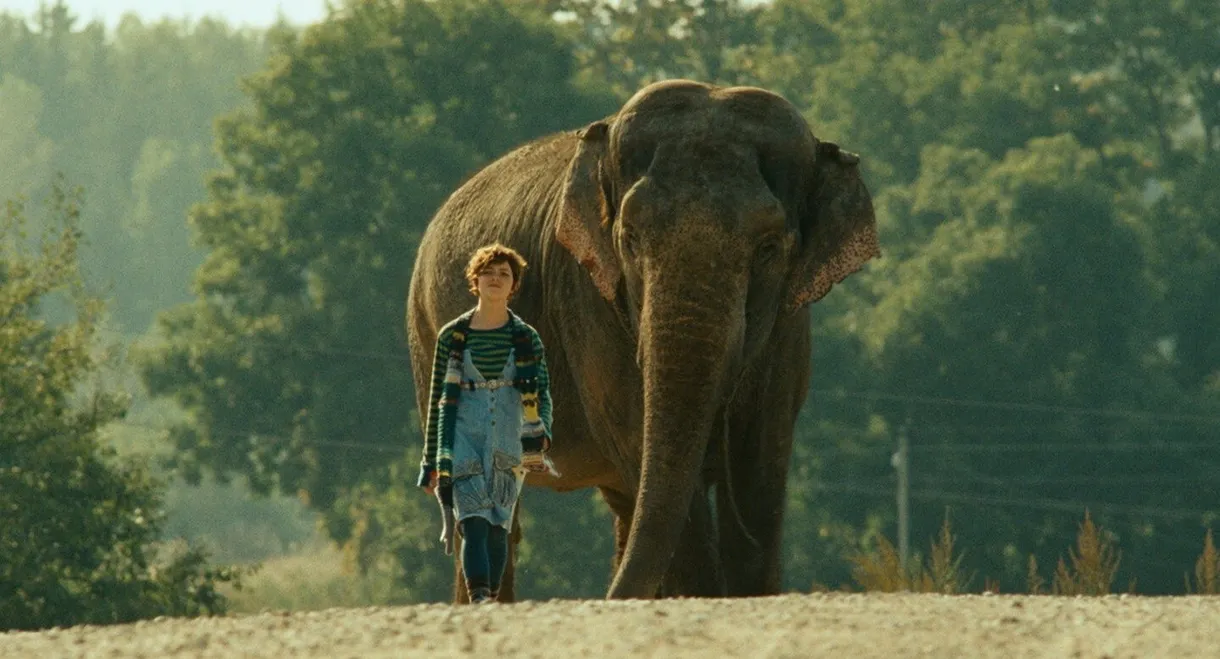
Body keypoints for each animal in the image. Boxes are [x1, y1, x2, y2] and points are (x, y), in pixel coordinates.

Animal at [405, 78, 879, 601]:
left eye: (770, 248)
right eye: (629, 238)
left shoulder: (789, 328)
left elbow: (760, 461)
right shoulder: (589, 301)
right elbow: (640, 439)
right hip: (427, 336)